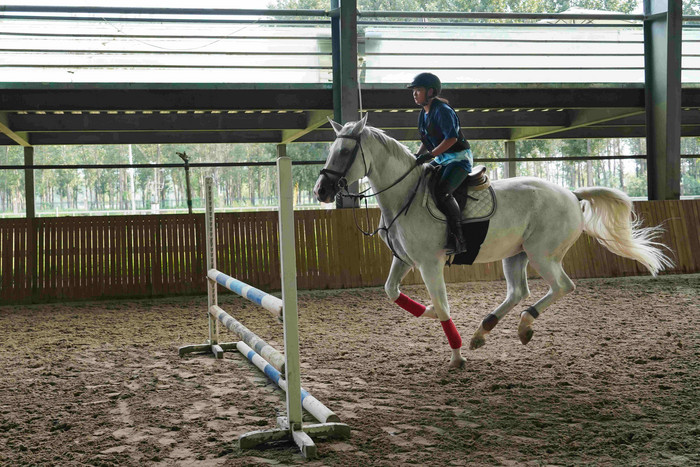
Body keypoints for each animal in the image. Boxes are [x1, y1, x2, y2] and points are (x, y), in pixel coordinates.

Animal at [314, 116, 672, 370]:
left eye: (344, 152)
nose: (321, 191)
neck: (405, 197)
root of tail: (572, 193)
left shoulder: (429, 263)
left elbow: (443, 306)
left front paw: (456, 357)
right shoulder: (403, 259)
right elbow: (392, 291)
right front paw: (427, 313)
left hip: (542, 255)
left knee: (562, 286)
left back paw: (524, 325)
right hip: (516, 255)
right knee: (518, 291)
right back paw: (483, 331)